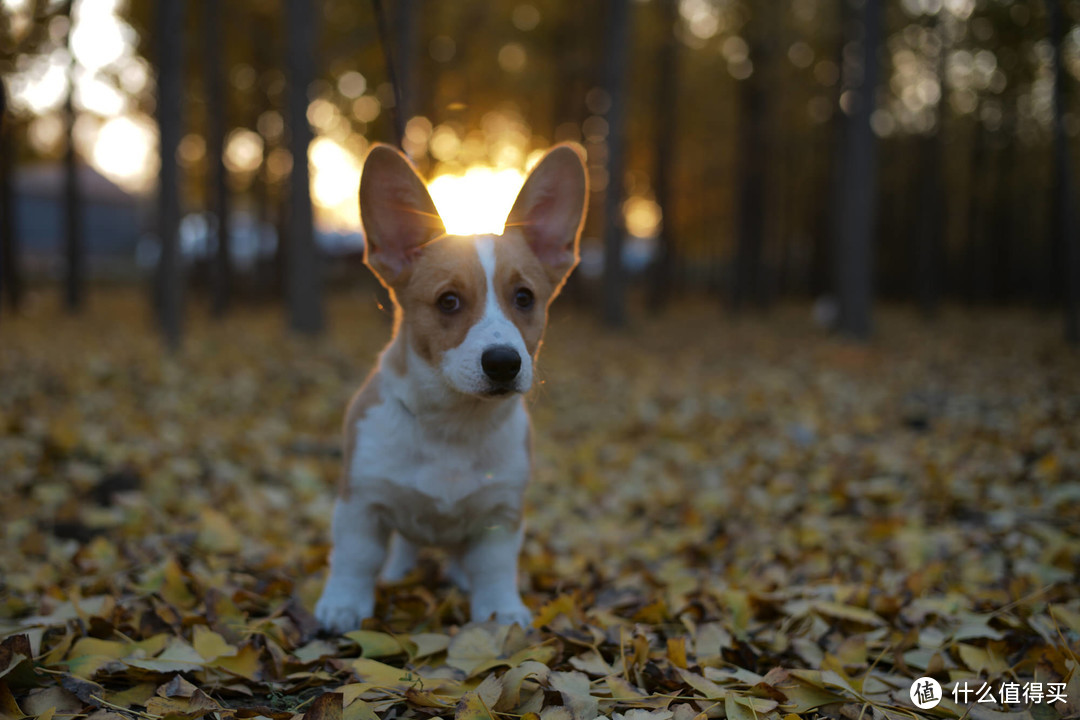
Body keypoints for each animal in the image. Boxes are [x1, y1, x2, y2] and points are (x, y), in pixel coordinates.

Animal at [315, 140, 587, 630]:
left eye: (524, 298)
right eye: (448, 301)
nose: (503, 363)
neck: (454, 424)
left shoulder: (501, 512)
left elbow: (495, 567)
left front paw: (501, 610)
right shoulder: (361, 503)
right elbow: (354, 559)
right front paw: (343, 605)